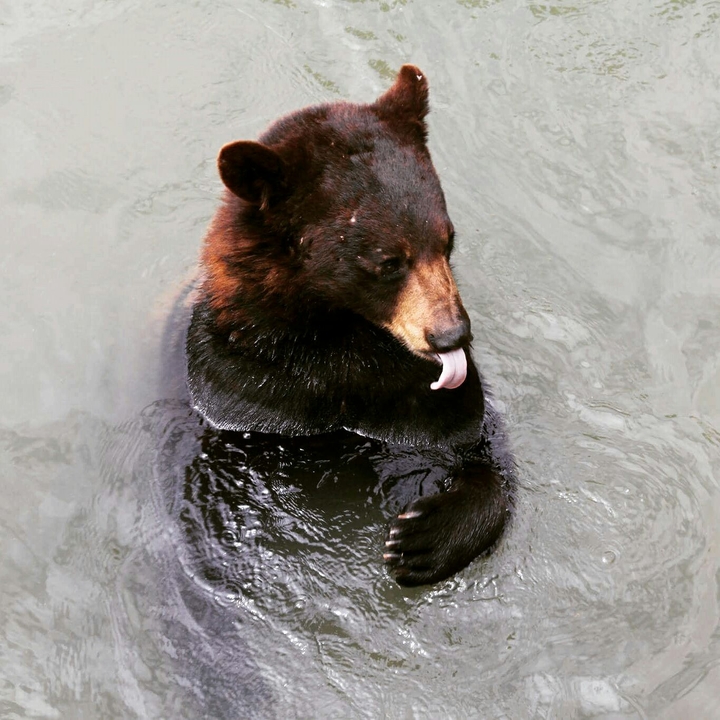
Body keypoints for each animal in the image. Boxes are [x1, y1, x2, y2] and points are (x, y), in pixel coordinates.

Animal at [185, 64, 514, 587]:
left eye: (448, 241)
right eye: (388, 262)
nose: (452, 335)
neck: (337, 337)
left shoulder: (427, 401)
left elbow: (481, 449)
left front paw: (422, 538)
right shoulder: (240, 385)